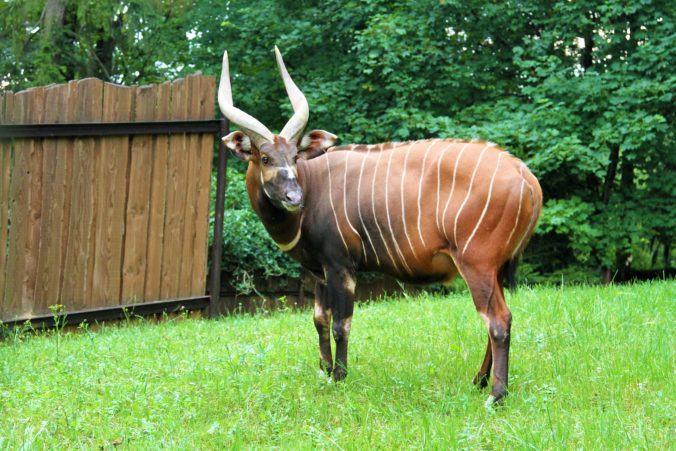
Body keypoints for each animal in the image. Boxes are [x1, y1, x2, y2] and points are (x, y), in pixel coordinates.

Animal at [219, 46, 540, 406]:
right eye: (265, 158)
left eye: (294, 157)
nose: (294, 196)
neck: (313, 182)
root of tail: (526, 178)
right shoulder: (320, 273)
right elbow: (319, 319)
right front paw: (324, 372)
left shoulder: (341, 266)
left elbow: (341, 324)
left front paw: (339, 377)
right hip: (492, 269)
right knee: (497, 318)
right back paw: (479, 381)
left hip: (477, 264)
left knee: (498, 320)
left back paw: (496, 395)